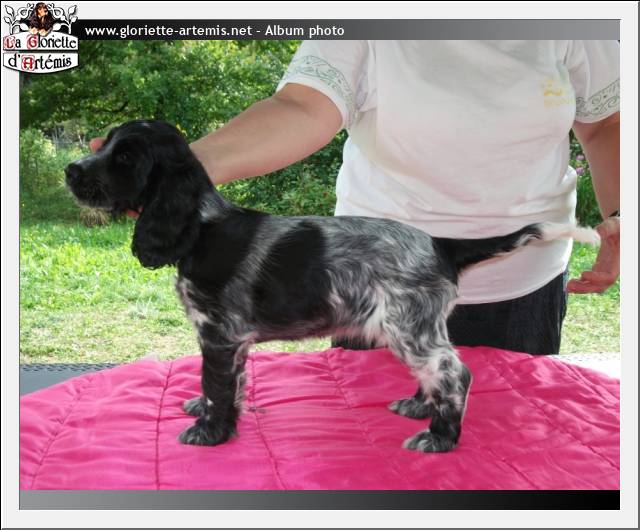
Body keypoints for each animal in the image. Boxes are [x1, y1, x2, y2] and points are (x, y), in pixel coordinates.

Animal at [65, 120, 599, 453]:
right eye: (106, 145)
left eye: (125, 157)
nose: (71, 169)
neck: (199, 225)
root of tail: (441, 245)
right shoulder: (233, 340)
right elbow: (228, 382)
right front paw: (213, 410)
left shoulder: (218, 332)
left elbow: (215, 381)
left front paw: (210, 429)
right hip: (417, 328)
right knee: (439, 370)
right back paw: (417, 407)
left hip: (408, 325)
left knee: (454, 373)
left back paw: (440, 437)